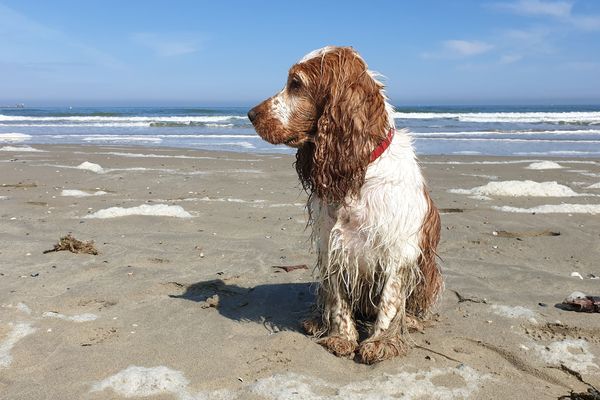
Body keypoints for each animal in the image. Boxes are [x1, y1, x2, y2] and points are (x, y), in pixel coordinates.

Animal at [248, 45, 440, 364]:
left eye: (296, 84)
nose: (250, 114)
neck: (360, 170)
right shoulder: (332, 244)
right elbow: (338, 299)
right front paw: (341, 337)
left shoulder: (398, 250)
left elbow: (390, 301)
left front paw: (381, 342)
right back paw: (316, 321)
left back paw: (411, 321)